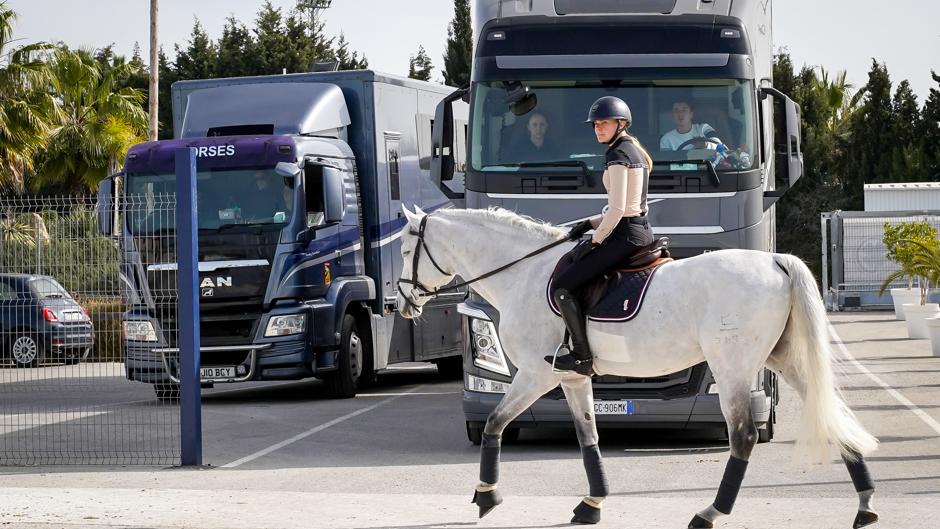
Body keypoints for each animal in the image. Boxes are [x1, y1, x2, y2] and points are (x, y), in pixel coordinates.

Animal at [394, 206, 880, 528]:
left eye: (404, 248)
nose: (401, 304)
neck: (524, 274)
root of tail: (775, 261)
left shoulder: (536, 374)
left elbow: (494, 422)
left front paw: (486, 496)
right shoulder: (572, 377)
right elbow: (588, 436)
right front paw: (591, 505)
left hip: (733, 366)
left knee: (743, 436)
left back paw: (709, 513)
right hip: (779, 358)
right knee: (831, 411)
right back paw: (865, 505)